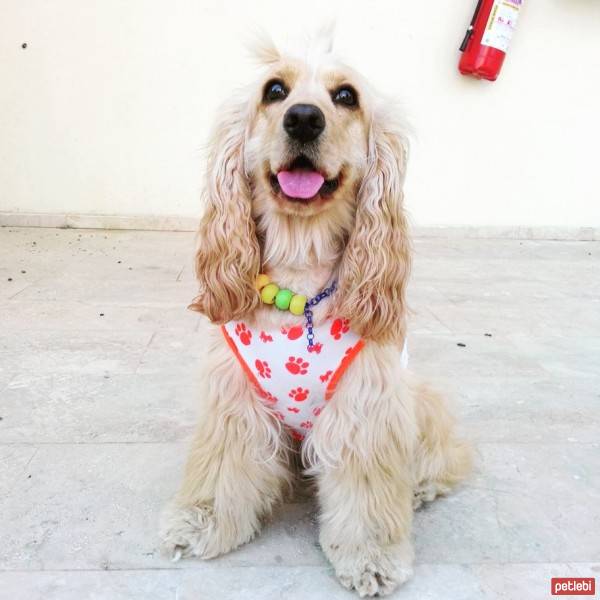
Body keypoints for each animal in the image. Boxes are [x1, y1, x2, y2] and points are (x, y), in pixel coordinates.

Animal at [161, 34, 474, 600]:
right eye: (274, 90)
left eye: (346, 96)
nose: (304, 118)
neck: (299, 265)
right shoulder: (234, 399)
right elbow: (220, 467)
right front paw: (200, 520)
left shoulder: (367, 407)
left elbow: (367, 491)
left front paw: (372, 556)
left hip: (419, 398)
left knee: (443, 457)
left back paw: (417, 488)